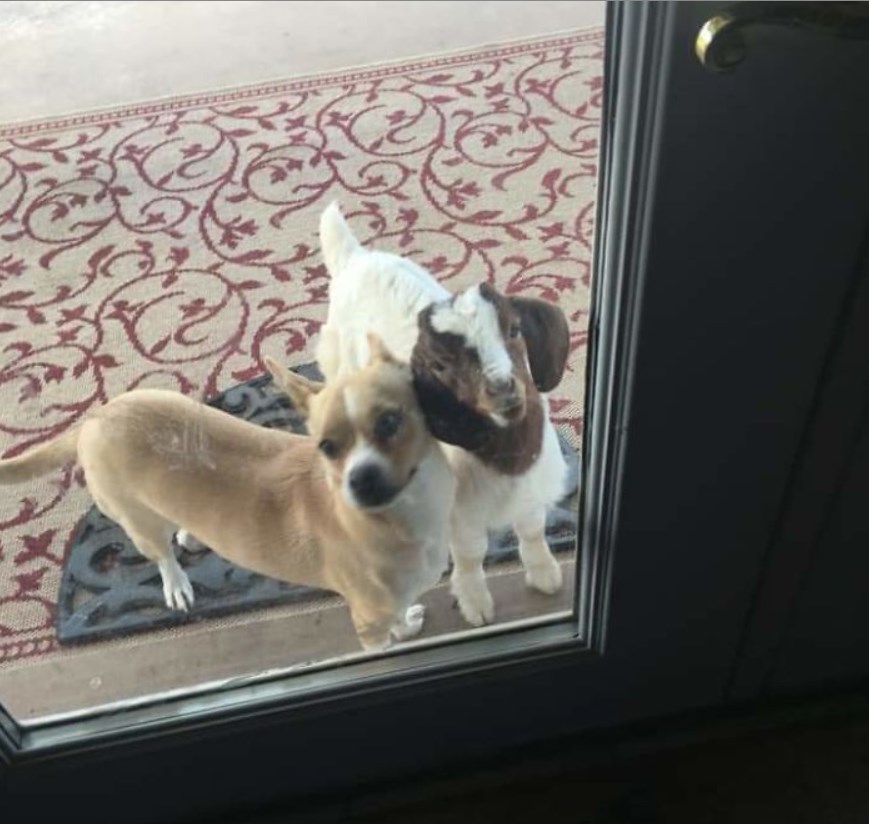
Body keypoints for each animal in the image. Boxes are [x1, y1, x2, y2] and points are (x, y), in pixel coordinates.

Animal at [0, 335, 455, 651]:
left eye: (390, 421)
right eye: (326, 446)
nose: (360, 480)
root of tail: (96, 415)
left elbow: (401, 613)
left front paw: (407, 622)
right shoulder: (368, 622)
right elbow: (386, 640)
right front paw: (401, 636)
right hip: (137, 522)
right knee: (162, 554)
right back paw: (176, 581)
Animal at [316, 202, 571, 627]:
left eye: (514, 330)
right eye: (439, 365)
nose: (502, 388)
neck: (508, 459)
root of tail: (353, 256)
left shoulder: (532, 491)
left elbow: (532, 529)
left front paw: (545, 575)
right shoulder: (458, 513)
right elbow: (470, 555)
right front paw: (475, 606)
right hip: (338, 363)